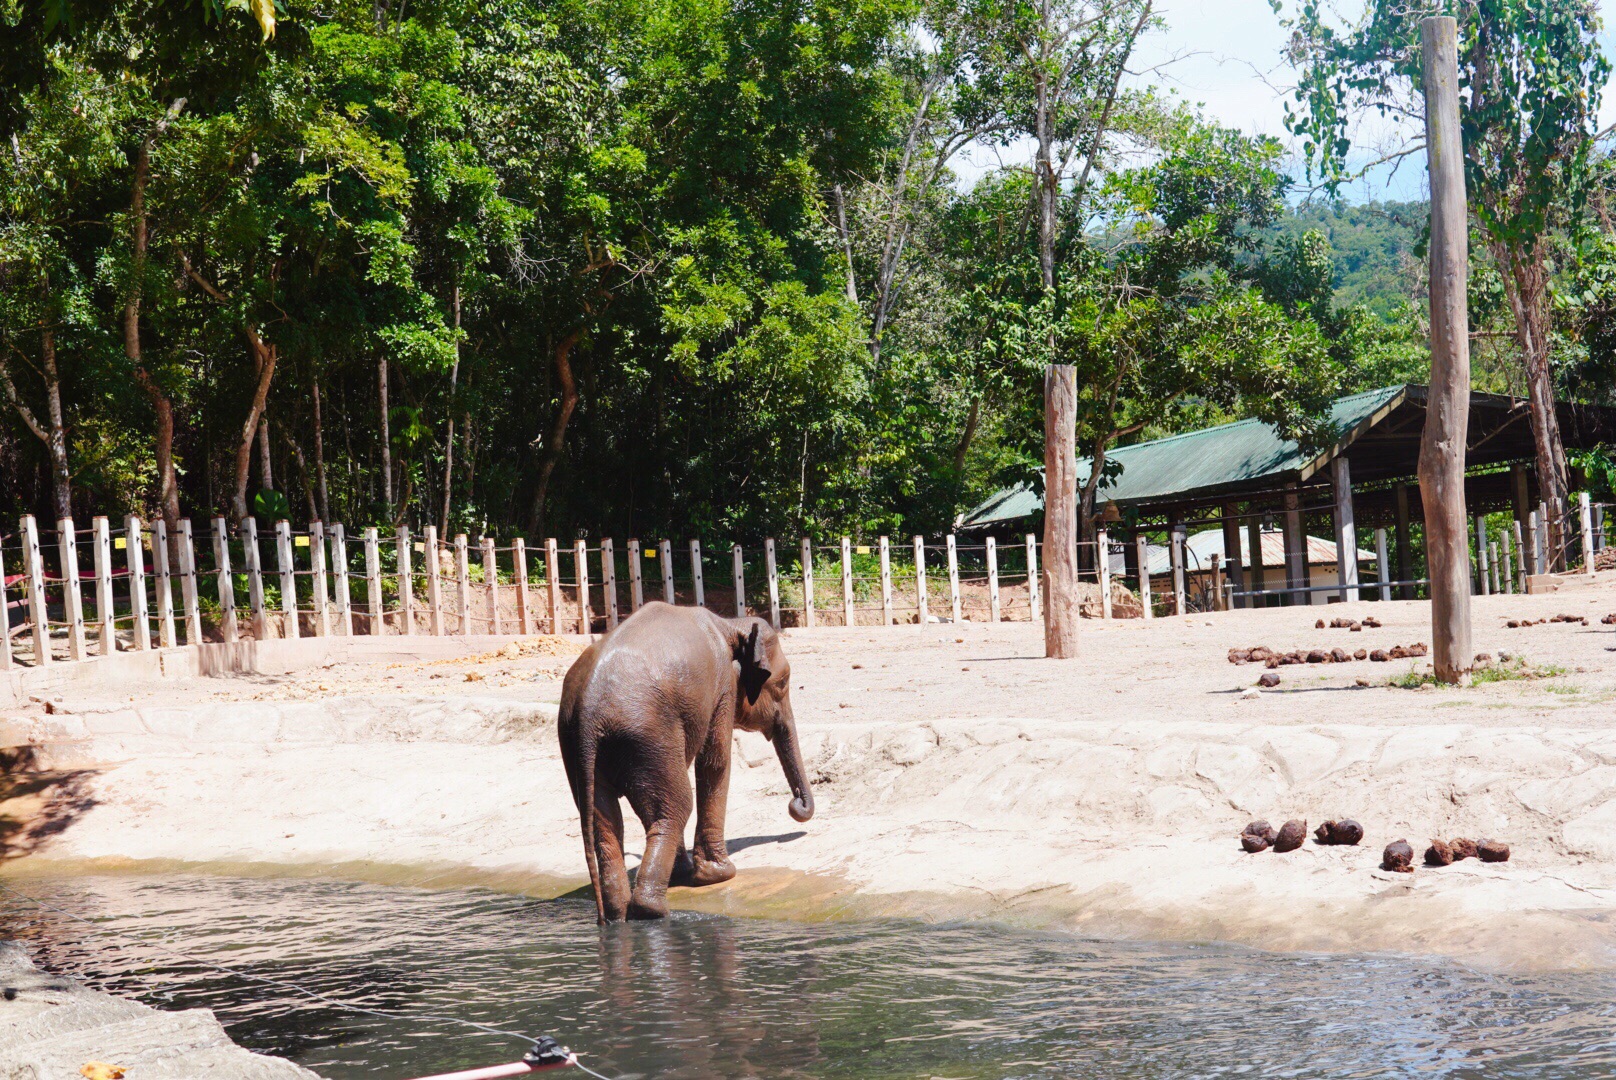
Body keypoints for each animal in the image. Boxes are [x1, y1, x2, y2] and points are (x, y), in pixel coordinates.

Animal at [559, 598, 814, 918]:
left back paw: (618, 915)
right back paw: (652, 910)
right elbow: (715, 762)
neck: (731, 624)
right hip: (647, 731)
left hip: (582, 746)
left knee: (605, 823)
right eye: (782, 683)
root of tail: (589, 710)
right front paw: (719, 875)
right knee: (676, 805)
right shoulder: (723, 684)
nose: (794, 805)